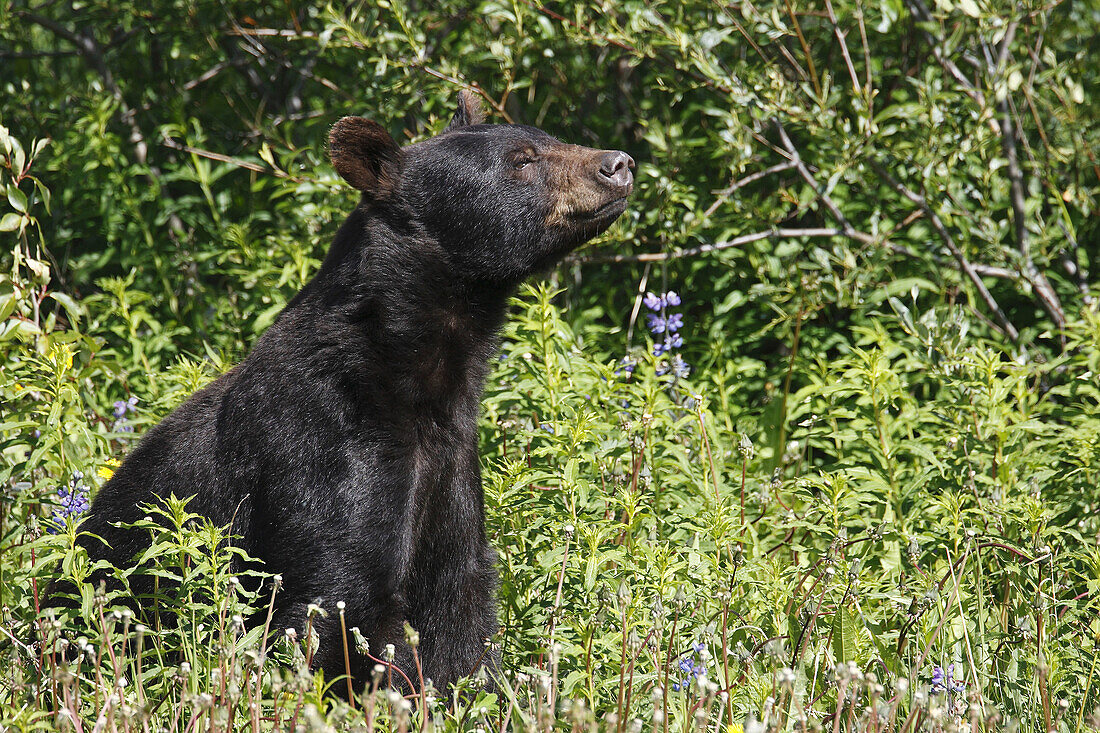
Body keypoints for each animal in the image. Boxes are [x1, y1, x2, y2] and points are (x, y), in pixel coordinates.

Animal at [70, 91, 638, 691]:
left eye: (547, 139)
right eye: (523, 161)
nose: (618, 163)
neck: (420, 374)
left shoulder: (450, 461)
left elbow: (458, 594)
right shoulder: (331, 438)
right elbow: (342, 597)